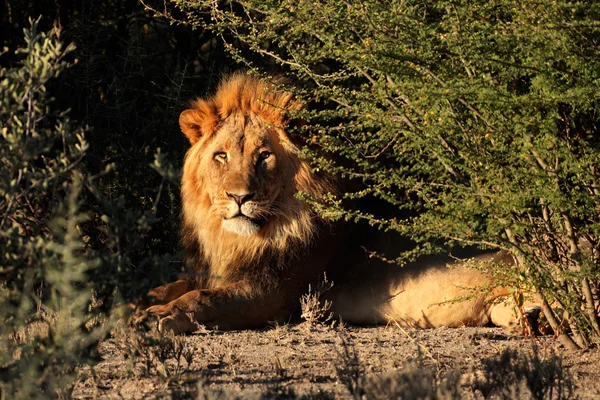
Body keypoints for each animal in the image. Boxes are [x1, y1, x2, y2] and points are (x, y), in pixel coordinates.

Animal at [139, 74, 536, 334]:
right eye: (221, 156)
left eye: (264, 156)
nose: (239, 197)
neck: (239, 238)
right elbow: (175, 284)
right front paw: (138, 302)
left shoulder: (271, 293)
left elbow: (204, 298)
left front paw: (157, 317)